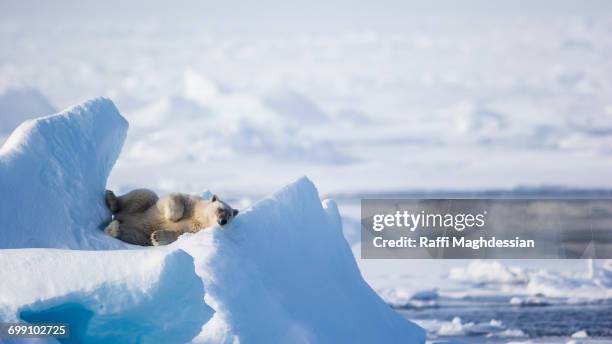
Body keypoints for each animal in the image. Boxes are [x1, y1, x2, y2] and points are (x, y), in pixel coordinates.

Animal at [104, 188, 238, 247]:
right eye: (220, 209)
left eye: (230, 215)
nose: (223, 221)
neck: (199, 218)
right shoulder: (192, 203)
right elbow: (174, 197)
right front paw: (173, 217)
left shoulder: (195, 231)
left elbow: (178, 235)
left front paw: (157, 237)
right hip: (142, 207)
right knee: (143, 194)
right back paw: (112, 198)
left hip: (140, 235)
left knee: (131, 234)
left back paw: (114, 229)